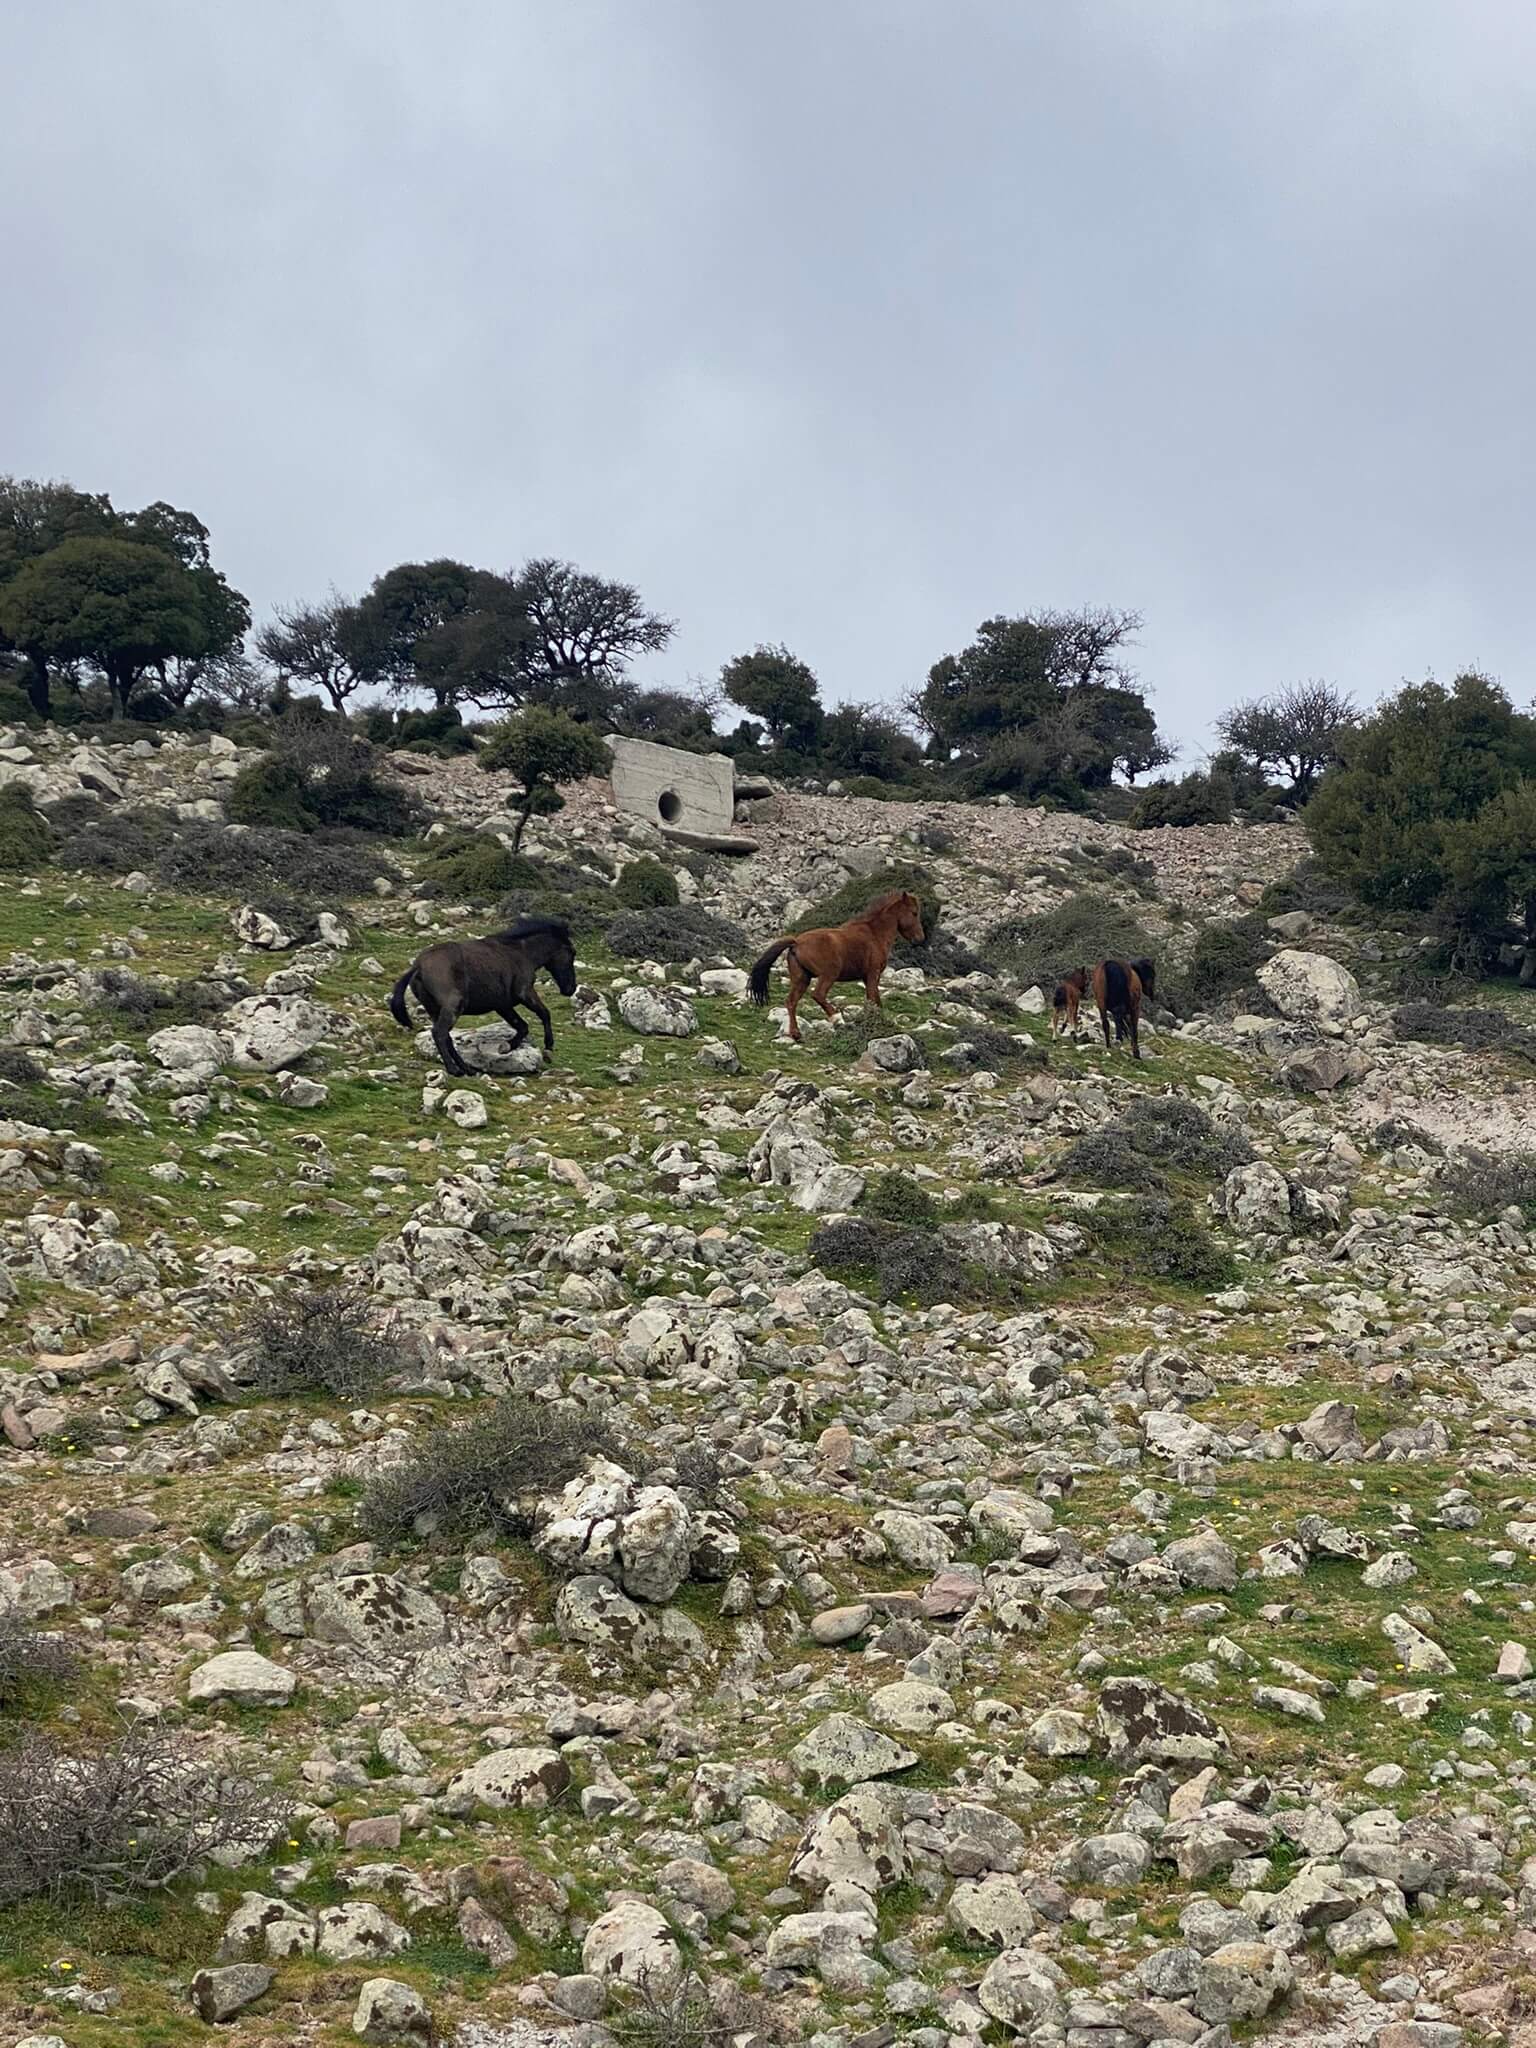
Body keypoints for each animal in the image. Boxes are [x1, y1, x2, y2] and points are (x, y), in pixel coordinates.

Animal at [387, 913, 581, 1073]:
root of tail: (418, 966)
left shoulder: (503, 1005)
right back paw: (454, 1069)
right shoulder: (524, 992)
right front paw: (547, 1049)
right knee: (440, 1033)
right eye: (571, 952)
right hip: (452, 1006)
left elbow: (522, 1026)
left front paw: (507, 1047)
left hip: (435, 1009)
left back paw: (466, 1068)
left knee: (446, 1037)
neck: (521, 952)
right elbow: (544, 1014)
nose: (570, 988)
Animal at [749, 888, 925, 1040]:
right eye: (914, 913)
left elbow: (874, 1001)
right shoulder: (873, 974)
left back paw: (796, 1034)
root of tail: (796, 942)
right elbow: (873, 1000)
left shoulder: (867, 977)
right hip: (829, 974)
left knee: (791, 1002)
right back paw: (837, 1019)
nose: (920, 938)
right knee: (818, 995)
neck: (874, 934)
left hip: (802, 978)